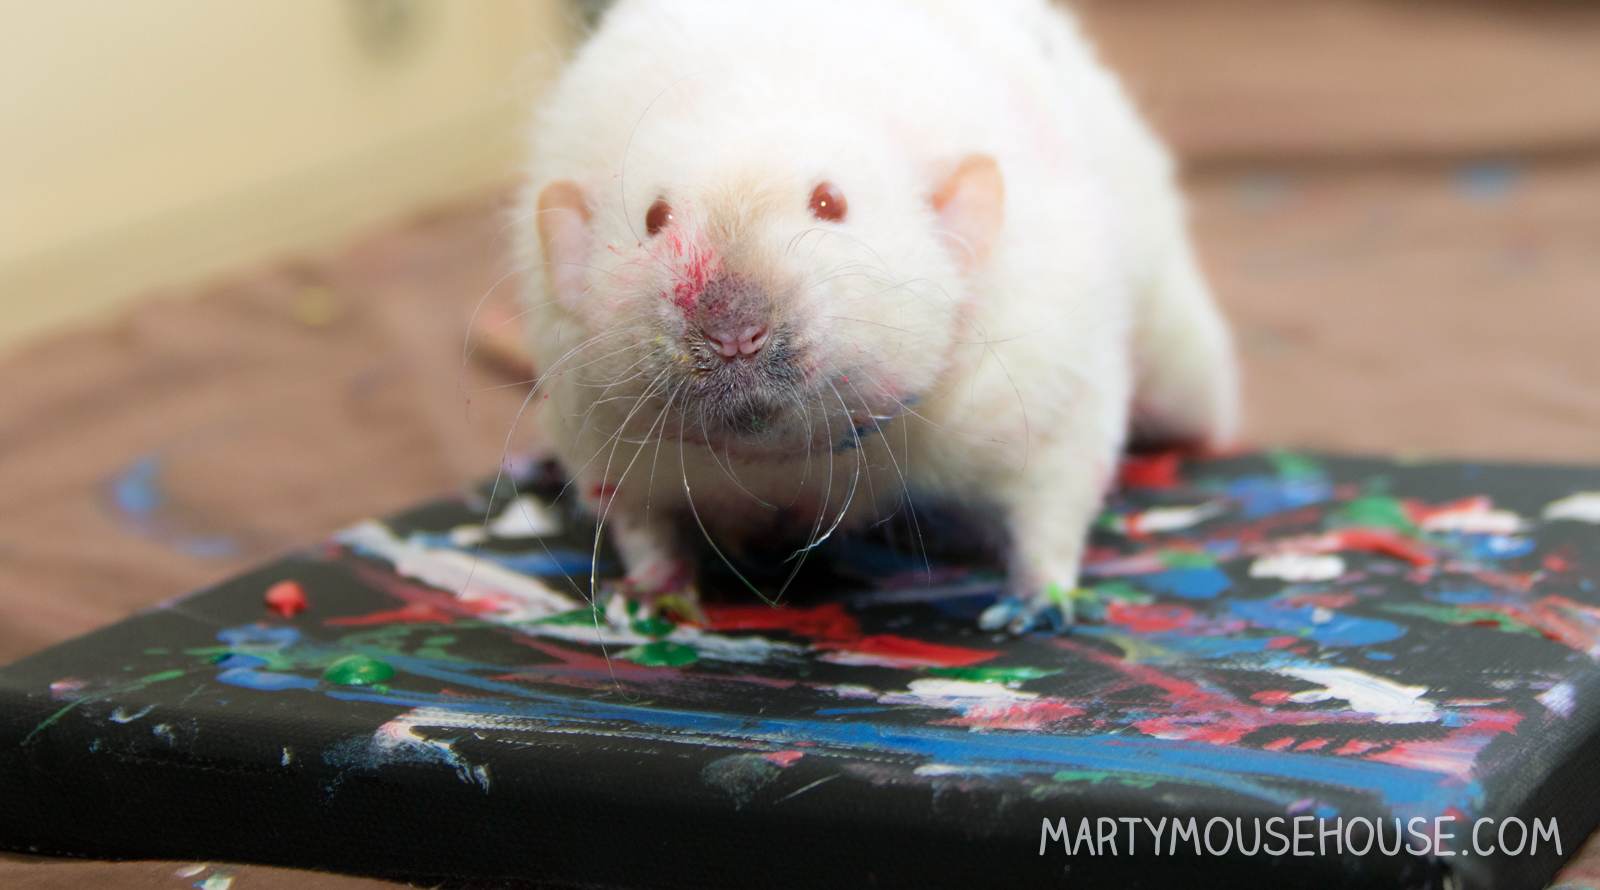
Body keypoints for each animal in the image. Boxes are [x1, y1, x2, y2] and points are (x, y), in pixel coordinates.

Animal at [516, 0, 1238, 632]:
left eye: (829, 202)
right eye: (653, 217)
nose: (731, 328)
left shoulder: (1035, 369)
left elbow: (1058, 480)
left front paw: (1042, 590)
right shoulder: (608, 432)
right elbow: (639, 517)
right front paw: (653, 586)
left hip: (1177, 358)